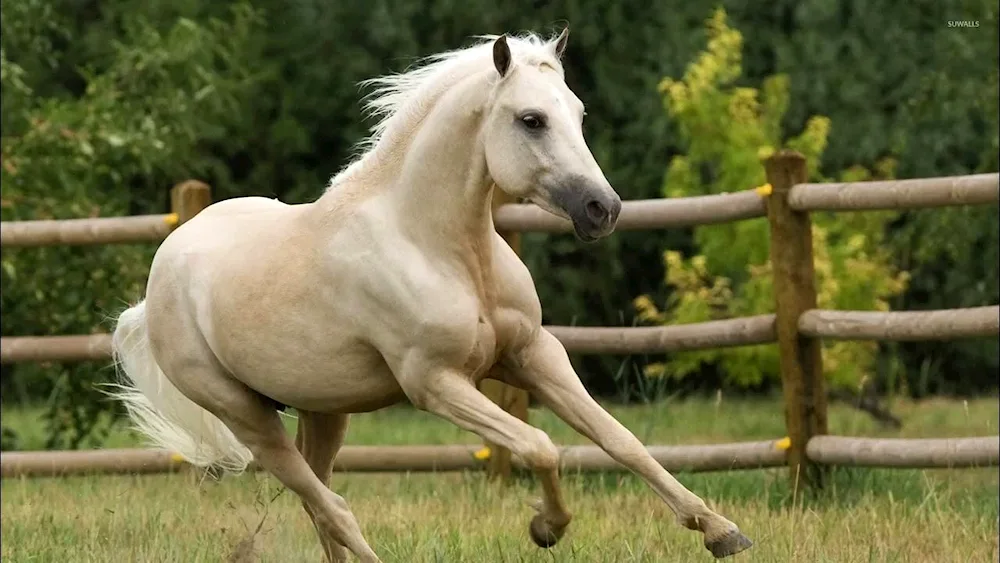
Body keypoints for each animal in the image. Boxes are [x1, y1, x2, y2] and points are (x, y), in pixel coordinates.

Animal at [111, 28, 752, 560]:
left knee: (319, 503)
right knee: (331, 507)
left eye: (577, 112)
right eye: (531, 120)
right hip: (245, 416)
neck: (441, 249)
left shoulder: (534, 354)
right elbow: (540, 445)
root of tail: (158, 280)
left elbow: (622, 441)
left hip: (324, 410)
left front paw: (720, 531)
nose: (603, 209)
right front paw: (546, 528)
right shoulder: (436, 383)